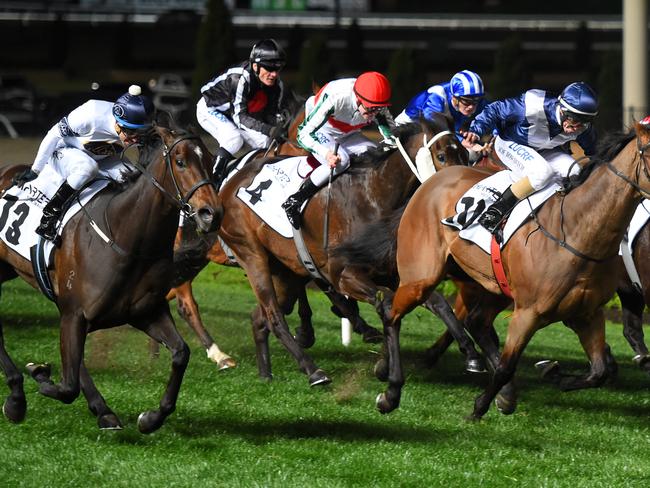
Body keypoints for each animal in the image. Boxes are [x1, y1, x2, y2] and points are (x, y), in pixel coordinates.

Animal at [0, 125, 220, 430]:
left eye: (210, 160)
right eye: (180, 162)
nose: (211, 214)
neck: (125, 238)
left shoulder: (144, 312)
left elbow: (180, 353)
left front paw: (150, 418)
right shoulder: (75, 314)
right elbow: (67, 386)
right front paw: (39, 374)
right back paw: (16, 397)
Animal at [370, 120, 648, 418]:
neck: (575, 231)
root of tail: (433, 181)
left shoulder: (588, 313)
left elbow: (599, 371)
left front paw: (551, 373)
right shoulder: (528, 313)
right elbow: (506, 366)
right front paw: (479, 407)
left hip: (489, 283)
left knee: (474, 321)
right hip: (422, 275)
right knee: (392, 313)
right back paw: (391, 391)